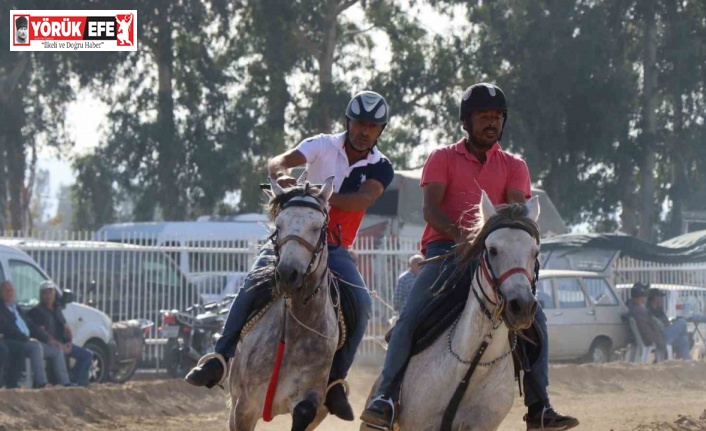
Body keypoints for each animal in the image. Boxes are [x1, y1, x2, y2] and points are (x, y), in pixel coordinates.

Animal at [230, 176, 340, 431]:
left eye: (317, 227)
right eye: (278, 226)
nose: (287, 274)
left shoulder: (310, 399)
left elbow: (304, 410)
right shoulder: (244, 406)